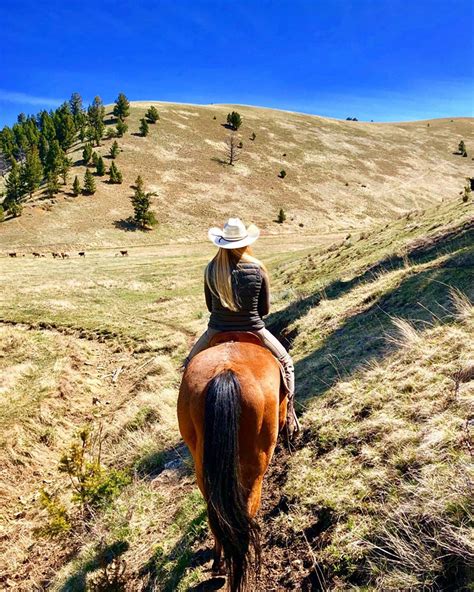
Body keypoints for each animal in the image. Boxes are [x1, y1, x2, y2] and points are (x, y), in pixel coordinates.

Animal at [178, 332, 286, 592]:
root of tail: (226, 373)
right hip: (255, 471)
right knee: (246, 512)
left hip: (202, 467)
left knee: (215, 513)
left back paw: (219, 563)